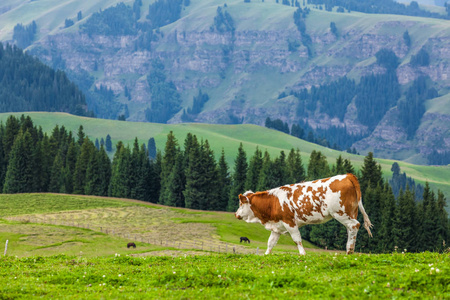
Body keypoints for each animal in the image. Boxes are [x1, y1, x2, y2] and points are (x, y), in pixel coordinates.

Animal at [236, 173, 372, 255]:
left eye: (241, 204)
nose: (236, 214)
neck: (273, 201)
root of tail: (347, 175)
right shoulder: (277, 227)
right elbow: (270, 243)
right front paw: (266, 255)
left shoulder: (289, 222)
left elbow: (297, 240)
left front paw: (303, 254)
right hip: (351, 213)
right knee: (351, 229)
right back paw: (350, 250)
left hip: (341, 213)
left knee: (355, 225)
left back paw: (349, 251)